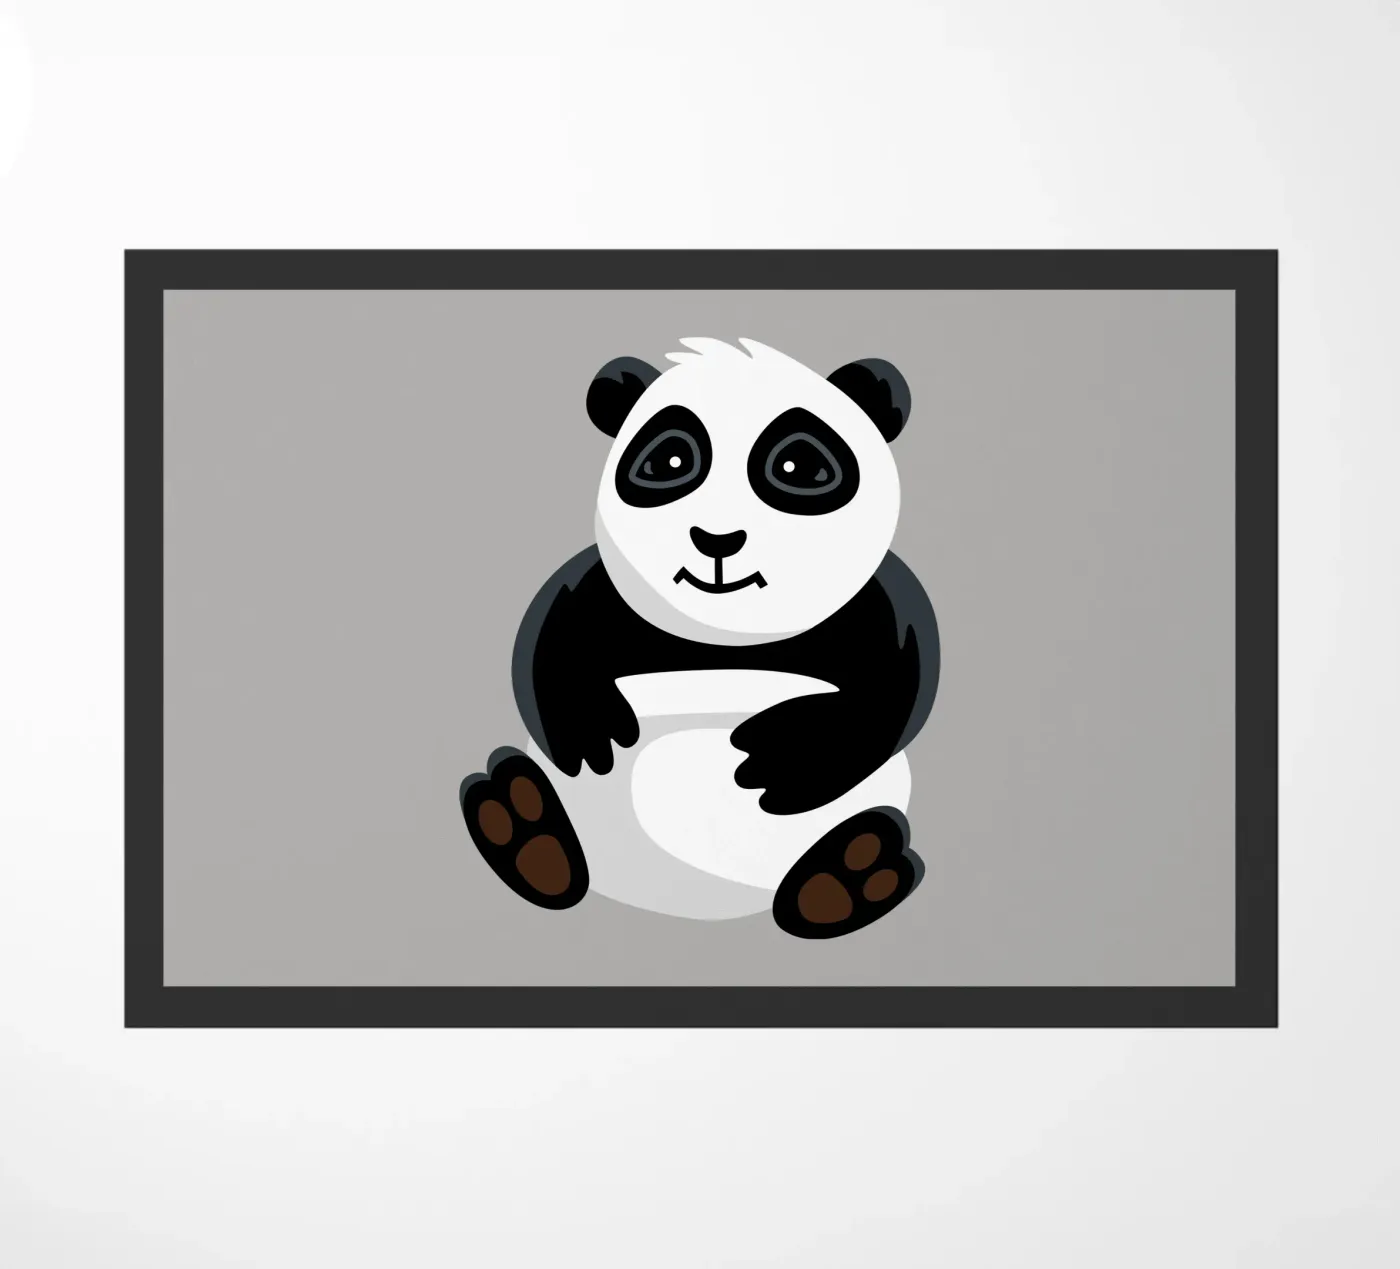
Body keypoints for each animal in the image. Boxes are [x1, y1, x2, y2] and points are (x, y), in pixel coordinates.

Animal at [460, 337, 939, 939]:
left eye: (799, 466)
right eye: (670, 461)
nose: (717, 539)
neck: (726, 634)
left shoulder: (874, 607)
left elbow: (896, 682)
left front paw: (783, 753)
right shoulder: (608, 591)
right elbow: (555, 633)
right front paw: (591, 726)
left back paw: (845, 878)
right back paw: (525, 830)